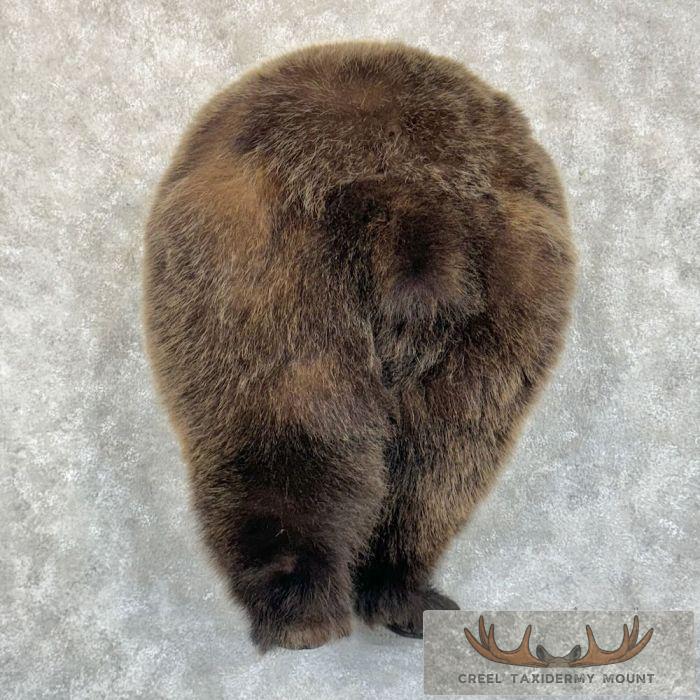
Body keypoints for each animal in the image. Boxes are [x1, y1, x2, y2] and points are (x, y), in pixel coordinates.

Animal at [142, 40, 576, 651]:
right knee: (439, 465)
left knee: (285, 445)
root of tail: (403, 199)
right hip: (505, 309)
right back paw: (401, 591)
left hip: (265, 286)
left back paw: (298, 608)